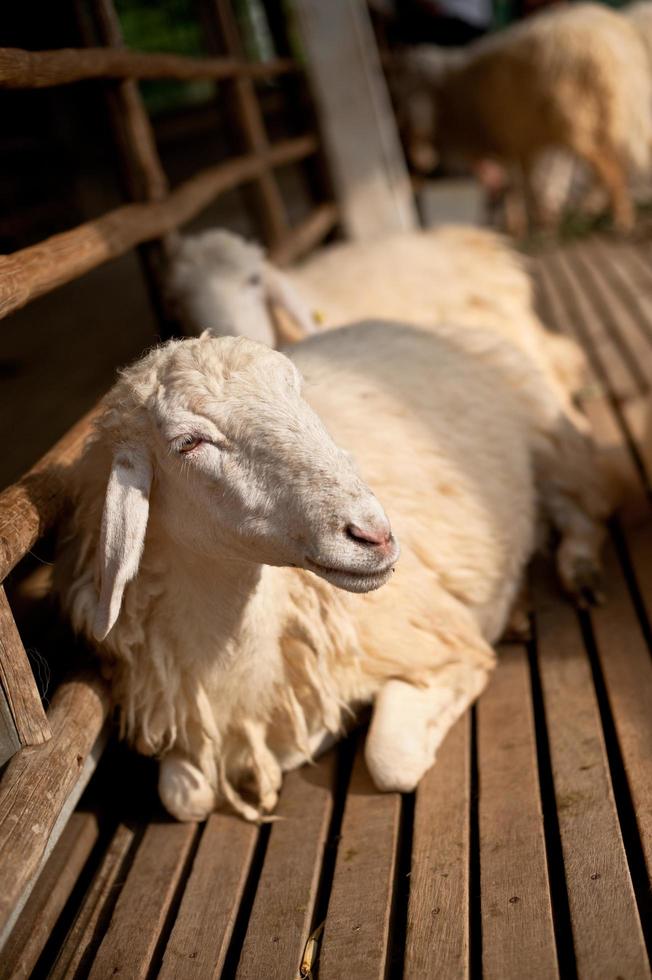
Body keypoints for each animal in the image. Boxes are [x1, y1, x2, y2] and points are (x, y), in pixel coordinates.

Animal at [57, 326, 612, 824]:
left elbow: (392, 758)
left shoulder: (435, 641)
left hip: (547, 434)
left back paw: (579, 569)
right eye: (188, 443)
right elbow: (184, 796)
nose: (374, 534)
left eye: (297, 393)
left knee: (577, 505)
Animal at [392, 2, 652, 231]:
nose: (419, 158)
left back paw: (620, 217)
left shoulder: (508, 138)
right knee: (612, 165)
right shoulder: (523, 140)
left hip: (578, 120)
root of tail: (616, 39)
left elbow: (516, 184)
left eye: (412, 89)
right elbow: (530, 180)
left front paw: (520, 222)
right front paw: (542, 216)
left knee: (611, 168)